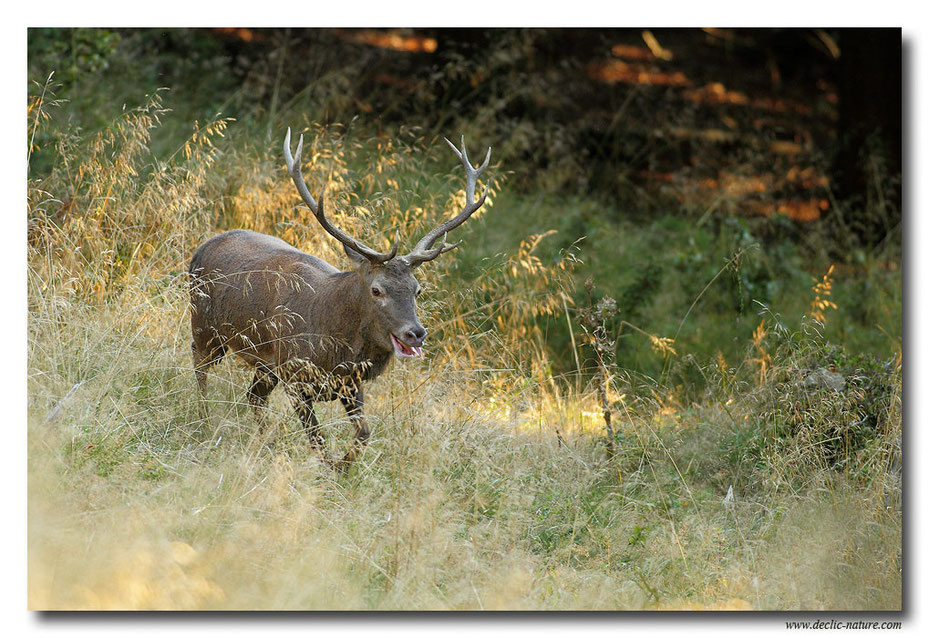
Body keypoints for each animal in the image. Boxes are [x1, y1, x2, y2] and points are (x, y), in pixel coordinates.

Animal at [189, 129, 492, 470]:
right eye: (377, 290)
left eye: (417, 289)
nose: (416, 333)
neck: (333, 349)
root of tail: (202, 247)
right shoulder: (296, 375)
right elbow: (317, 437)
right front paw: (329, 467)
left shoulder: (349, 383)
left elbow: (363, 434)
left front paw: (343, 466)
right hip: (204, 326)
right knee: (201, 368)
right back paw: (205, 422)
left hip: (265, 363)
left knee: (254, 395)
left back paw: (266, 439)